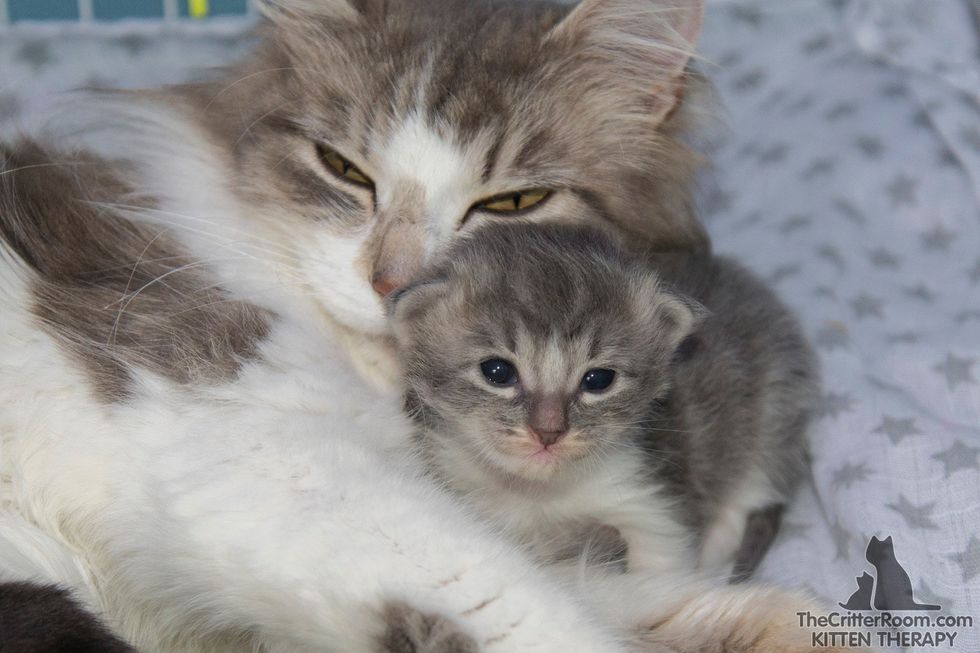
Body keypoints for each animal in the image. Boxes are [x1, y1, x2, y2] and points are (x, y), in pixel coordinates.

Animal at [392, 222, 820, 580]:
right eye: (497, 372)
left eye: (598, 380)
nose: (548, 431)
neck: (536, 494)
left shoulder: (650, 502)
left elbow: (656, 573)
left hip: (775, 404)